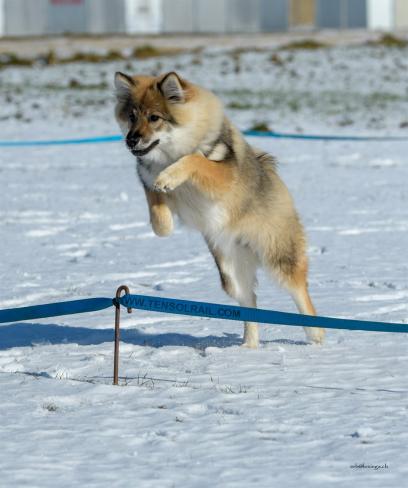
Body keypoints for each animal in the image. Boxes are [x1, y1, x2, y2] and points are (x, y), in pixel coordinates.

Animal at [115, 71, 326, 346]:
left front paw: (169, 177)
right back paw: (248, 347)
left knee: (300, 291)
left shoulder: (223, 176)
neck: (168, 155)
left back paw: (316, 335)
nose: (131, 140)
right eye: (131, 117)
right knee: (250, 301)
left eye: (154, 117)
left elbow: (194, 160)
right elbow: (157, 207)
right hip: (230, 273)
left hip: (278, 254)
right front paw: (164, 220)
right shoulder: (146, 177)